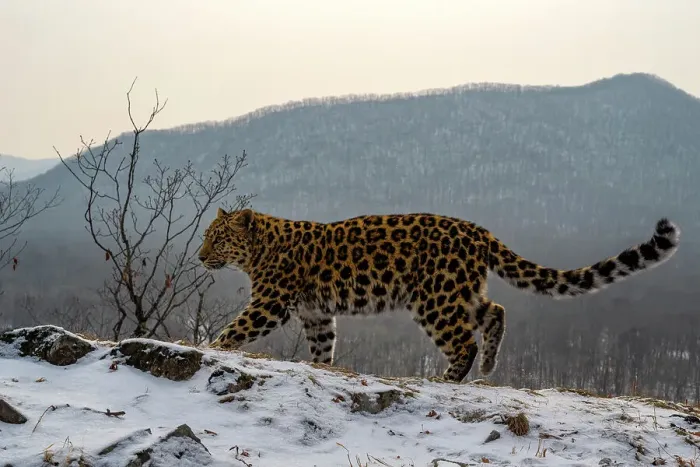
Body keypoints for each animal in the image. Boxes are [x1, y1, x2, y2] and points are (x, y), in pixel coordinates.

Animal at [198, 207, 679, 382]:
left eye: (217, 237)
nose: (201, 255)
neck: (259, 249)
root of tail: (479, 231)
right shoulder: (318, 314)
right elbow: (323, 348)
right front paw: (322, 368)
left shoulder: (271, 303)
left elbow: (235, 330)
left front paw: (212, 346)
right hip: (459, 291)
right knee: (495, 311)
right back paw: (488, 366)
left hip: (435, 298)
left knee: (464, 339)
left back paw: (450, 378)